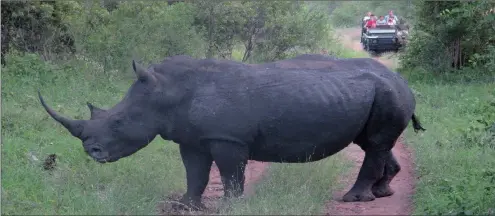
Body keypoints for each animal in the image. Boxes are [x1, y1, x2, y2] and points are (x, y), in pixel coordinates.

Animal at [39, 53, 426, 209]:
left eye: (119, 122)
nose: (92, 152)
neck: (166, 92)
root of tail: (404, 80)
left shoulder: (227, 139)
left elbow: (229, 172)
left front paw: (230, 204)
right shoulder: (193, 138)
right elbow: (195, 172)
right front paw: (187, 205)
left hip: (388, 93)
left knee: (374, 143)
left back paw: (353, 199)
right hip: (379, 93)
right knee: (374, 143)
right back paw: (382, 193)